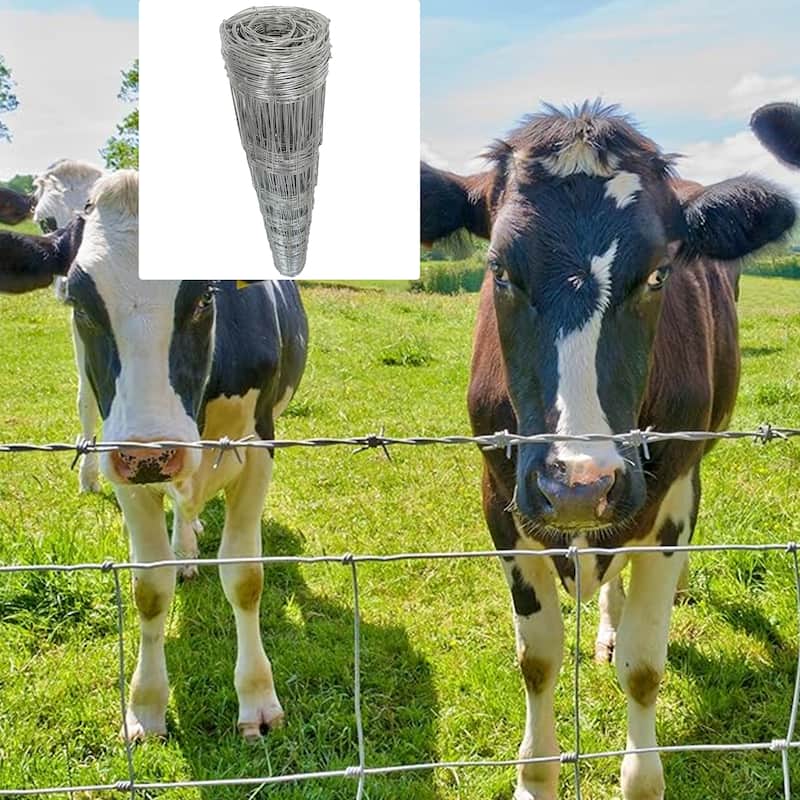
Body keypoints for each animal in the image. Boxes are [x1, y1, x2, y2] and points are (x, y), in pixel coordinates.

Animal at [0, 170, 308, 740]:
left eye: (205, 297)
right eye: (80, 304)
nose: (152, 452)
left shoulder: (259, 449)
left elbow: (245, 577)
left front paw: (256, 699)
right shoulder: (119, 459)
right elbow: (149, 586)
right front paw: (145, 705)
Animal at [421, 102, 796, 800]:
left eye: (657, 274)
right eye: (499, 271)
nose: (578, 483)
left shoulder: (668, 507)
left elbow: (645, 667)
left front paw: (642, 778)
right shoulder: (499, 500)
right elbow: (537, 660)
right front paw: (535, 779)